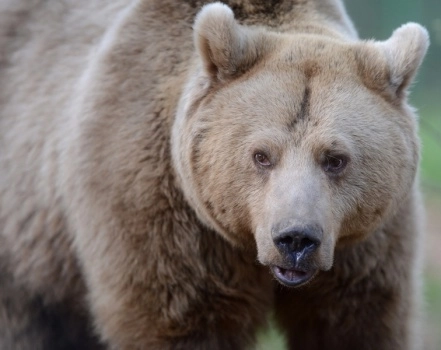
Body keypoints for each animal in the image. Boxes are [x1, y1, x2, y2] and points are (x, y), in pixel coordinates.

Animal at [0, 0, 428, 348]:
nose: (295, 239)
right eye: (261, 155)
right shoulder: (159, 216)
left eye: (335, 159)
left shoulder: (364, 245)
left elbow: (357, 322)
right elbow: (177, 319)